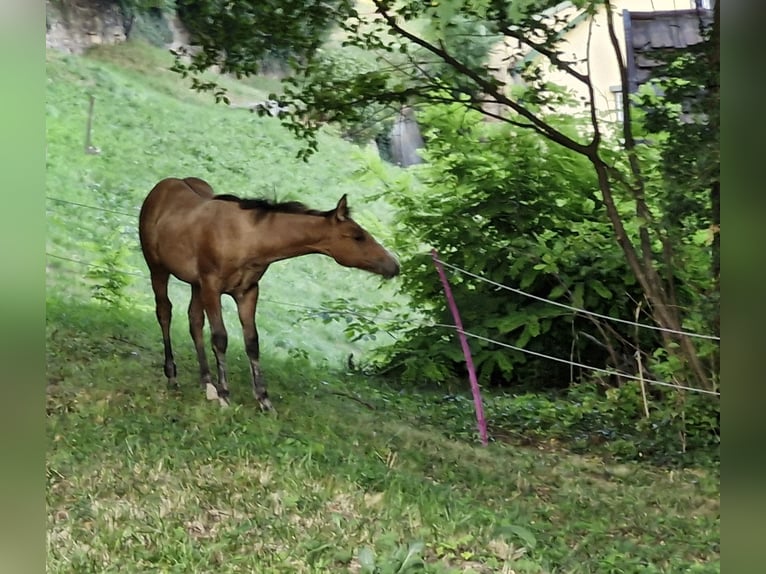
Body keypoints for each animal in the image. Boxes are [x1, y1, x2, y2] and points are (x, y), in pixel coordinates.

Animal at [139, 178, 402, 412]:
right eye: (358, 236)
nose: (393, 265)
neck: (248, 238)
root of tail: (161, 187)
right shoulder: (212, 287)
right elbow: (220, 338)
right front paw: (225, 395)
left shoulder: (247, 292)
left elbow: (252, 342)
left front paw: (263, 400)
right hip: (158, 269)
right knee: (164, 312)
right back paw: (173, 376)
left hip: (195, 284)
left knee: (194, 321)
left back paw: (207, 384)